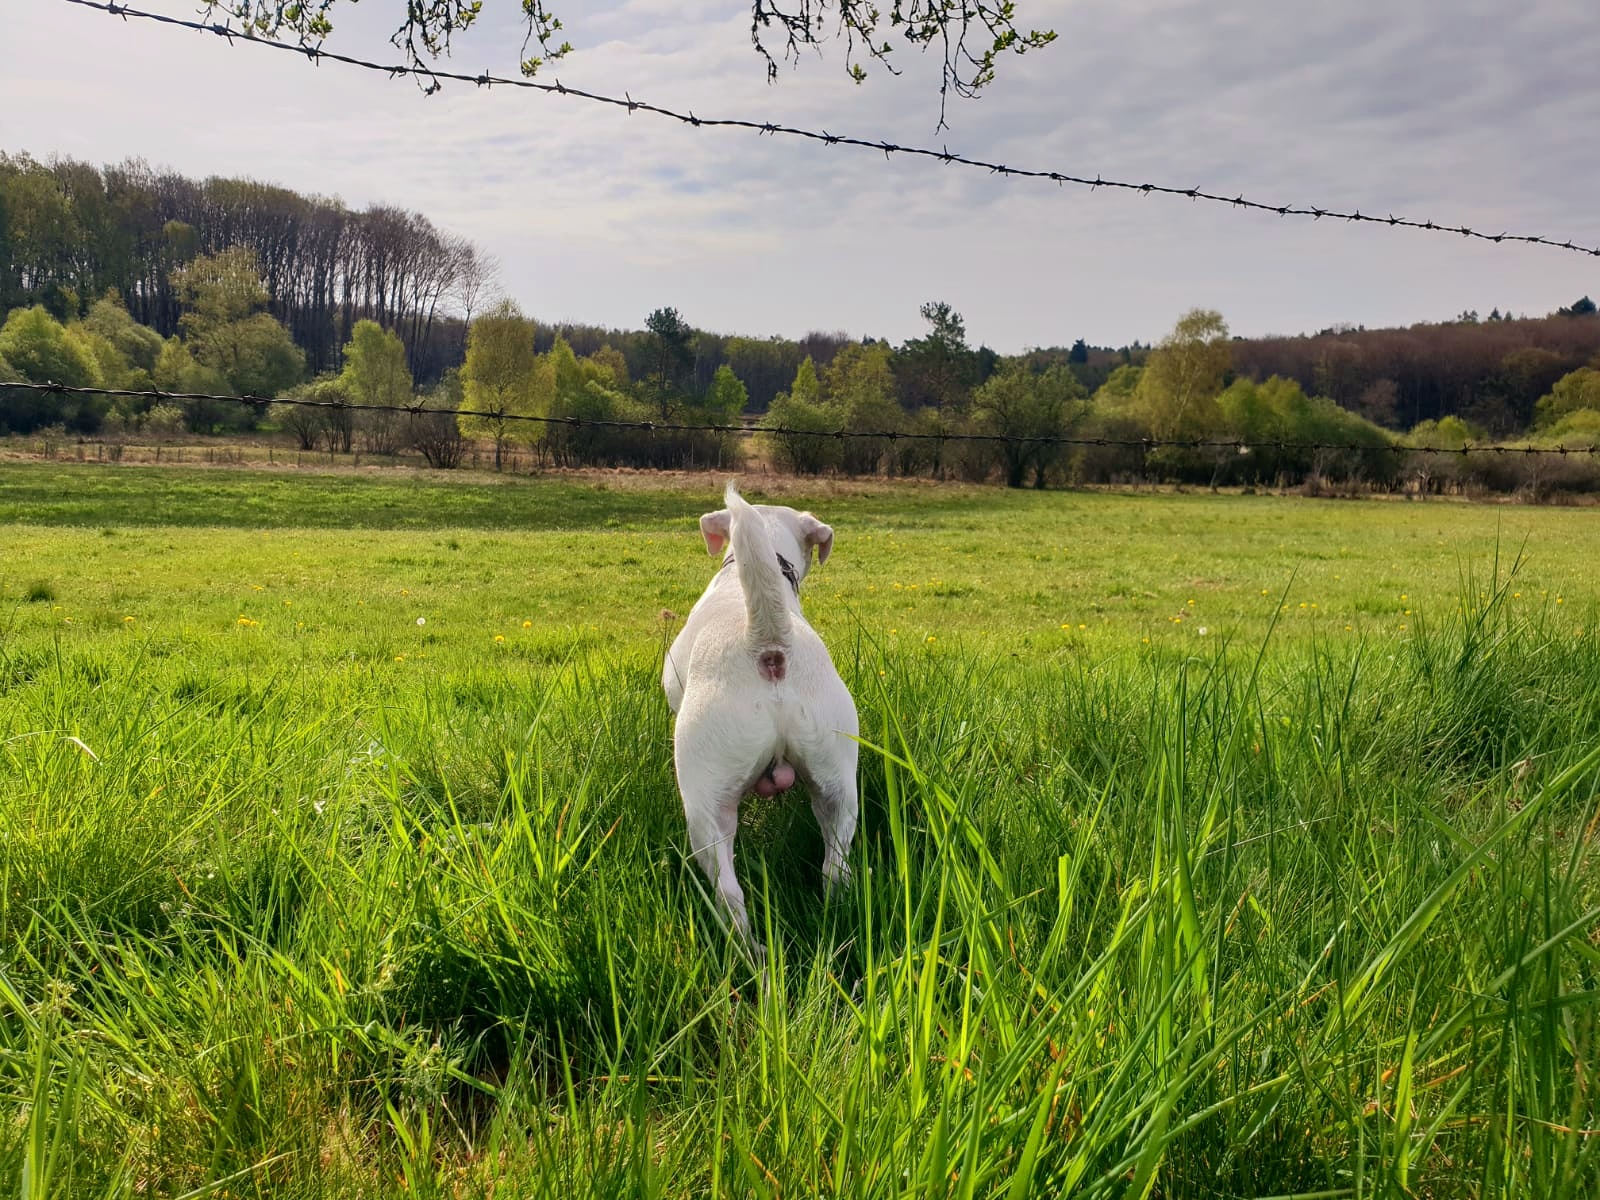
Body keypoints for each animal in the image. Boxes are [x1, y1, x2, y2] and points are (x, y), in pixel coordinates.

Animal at [662, 483, 864, 947]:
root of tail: (769, 643)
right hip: (838, 783)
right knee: (834, 867)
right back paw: (833, 918)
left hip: (705, 801)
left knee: (729, 893)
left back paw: (746, 950)